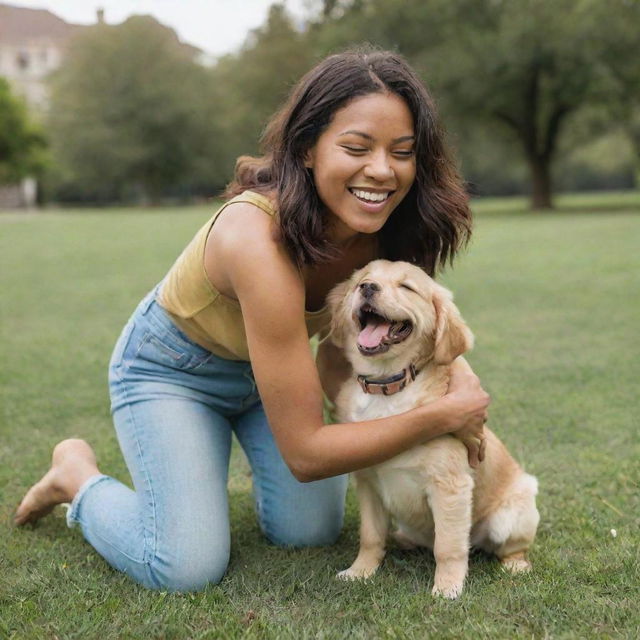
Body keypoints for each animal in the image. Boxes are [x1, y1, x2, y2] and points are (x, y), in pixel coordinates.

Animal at [328, 258, 536, 596]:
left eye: (406, 287)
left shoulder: (449, 486)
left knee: (508, 547)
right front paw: (360, 571)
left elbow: (448, 547)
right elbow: (370, 536)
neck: (387, 388)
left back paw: (515, 565)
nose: (368, 288)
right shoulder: (368, 483)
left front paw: (447, 588)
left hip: (513, 512)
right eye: (362, 280)